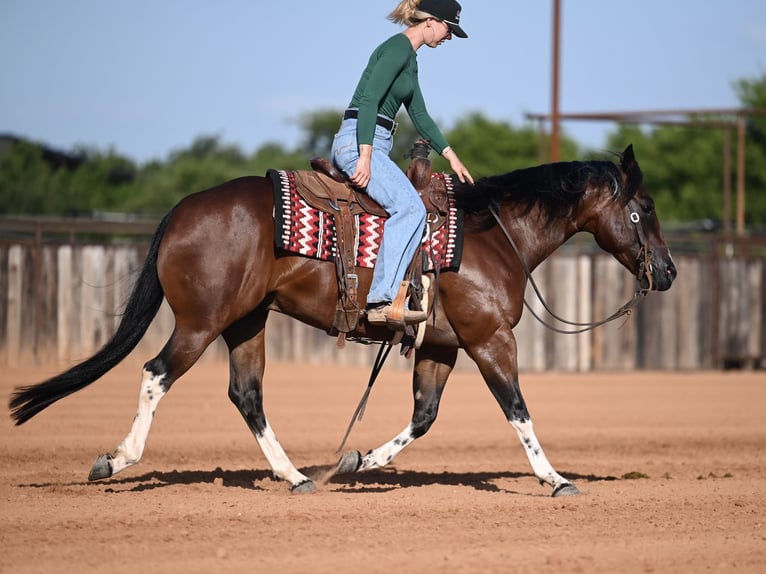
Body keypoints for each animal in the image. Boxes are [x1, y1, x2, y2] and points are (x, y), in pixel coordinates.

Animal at [9, 144, 676, 497]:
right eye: (643, 209)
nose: (667, 272)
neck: (493, 235)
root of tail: (181, 210)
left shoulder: (441, 346)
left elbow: (424, 417)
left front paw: (356, 462)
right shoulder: (491, 340)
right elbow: (518, 409)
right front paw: (555, 477)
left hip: (246, 323)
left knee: (246, 394)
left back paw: (295, 475)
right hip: (201, 323)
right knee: (156, 373)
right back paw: (117, 459)